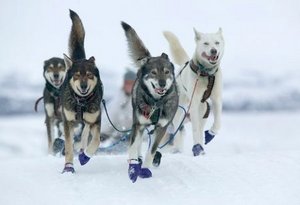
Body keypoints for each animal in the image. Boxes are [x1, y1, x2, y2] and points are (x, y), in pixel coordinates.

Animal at [163, 27, 224, 155]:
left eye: (217, 43)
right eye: (206, 43)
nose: (214, 51)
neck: (207, 74)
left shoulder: (216, 99)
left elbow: (217, 123)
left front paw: (211, 134)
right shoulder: (194, 102)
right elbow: (195, 129)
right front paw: (197, 147)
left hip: (204, 111)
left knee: (200, 128)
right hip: (179, 111)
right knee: (178, 129)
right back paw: (178, 147)